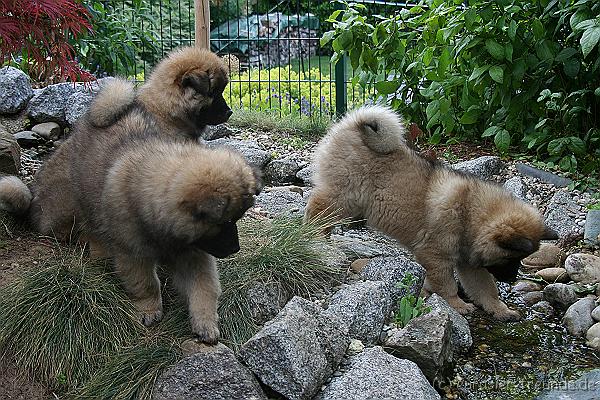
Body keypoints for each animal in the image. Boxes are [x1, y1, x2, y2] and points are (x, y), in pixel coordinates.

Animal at [304, 106, 556, 322]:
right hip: (343, 196)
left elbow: (486, 288)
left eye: (520, 260)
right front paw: (457, 305)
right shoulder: (436, 256)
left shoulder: (470, 263)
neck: (470, 213)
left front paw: (500, 309)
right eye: (510, 258)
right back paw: (315, 236)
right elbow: (447, 284)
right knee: (317, 209)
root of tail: (353, 125)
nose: (512, 279)